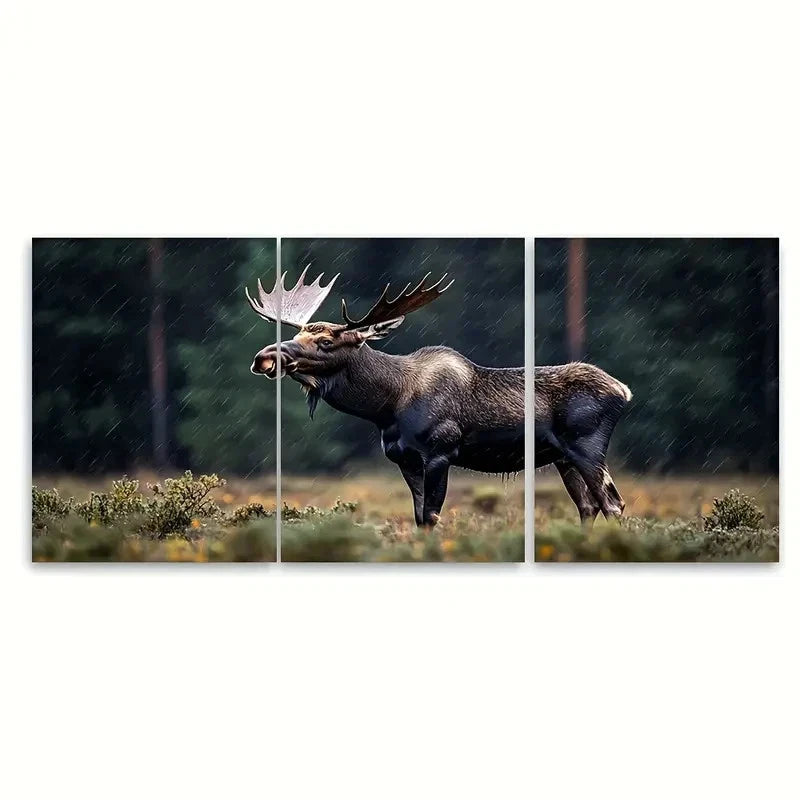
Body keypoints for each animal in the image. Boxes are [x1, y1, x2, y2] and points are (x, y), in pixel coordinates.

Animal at [246, 268, 525, 527]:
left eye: (325, 341)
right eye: (296, 337)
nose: (263, 357)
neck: (388, 409)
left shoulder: (441, 450)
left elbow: (430, 516)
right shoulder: (404, 458)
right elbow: (419, 517)